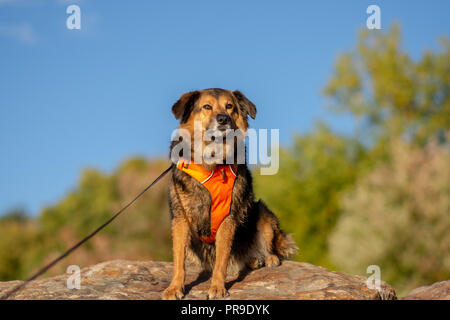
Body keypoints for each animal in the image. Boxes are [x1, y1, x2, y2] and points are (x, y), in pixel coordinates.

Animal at [163, 88, 298, 300]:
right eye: (207, 106)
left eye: (230, 107)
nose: (223, 119)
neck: (211, 163)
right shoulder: (181, 219)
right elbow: (178, 260)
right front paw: (175, 287)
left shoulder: (228, 219)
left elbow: (222, 259)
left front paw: (217, 287)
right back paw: (254, 261)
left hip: (262, 212)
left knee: (269, 245)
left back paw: (267, 258)